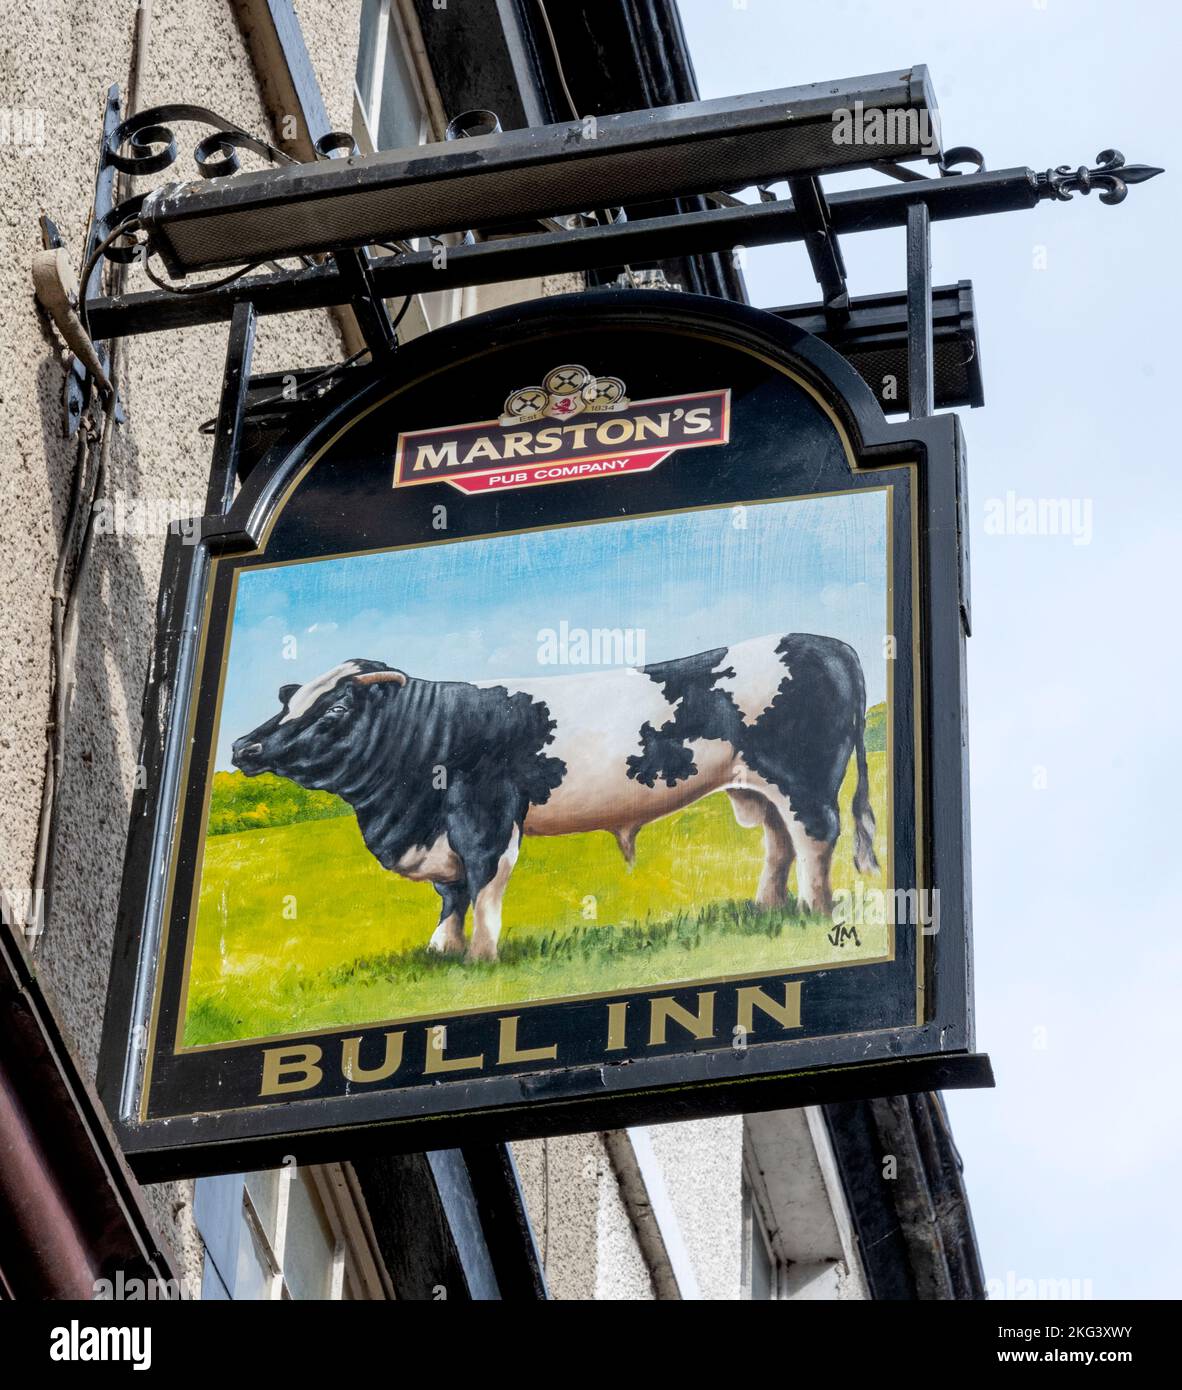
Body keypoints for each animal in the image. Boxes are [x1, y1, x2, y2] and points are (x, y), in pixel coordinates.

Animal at [230, 636, 873, 961]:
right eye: (288, 703)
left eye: (334, 708)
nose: (242, 745)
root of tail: (829, 643)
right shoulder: (440, 833)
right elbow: (450, 893)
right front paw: (441, 949)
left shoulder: (485, 819)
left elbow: (483, 886)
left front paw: (480, 959)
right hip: (755, 786)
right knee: (779, 842)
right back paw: (767, 909)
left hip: (803, 778)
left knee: (816, 837)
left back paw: (815, 913)